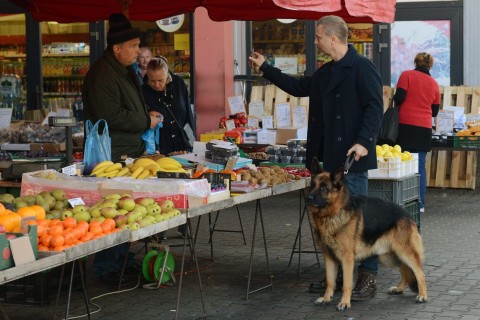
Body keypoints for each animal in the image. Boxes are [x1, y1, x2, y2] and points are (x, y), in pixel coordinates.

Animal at [308, 160, 428, 310]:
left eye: (324, 187)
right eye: (312, 185)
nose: (308, 198)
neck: (332, 214)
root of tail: (407, 214)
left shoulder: (347, 259)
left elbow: (347, 284)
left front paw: (345, 302)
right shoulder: (329, 257)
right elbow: (330, 281)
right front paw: (326, 298)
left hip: (405, 253)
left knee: (420, 273)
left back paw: (423, 296)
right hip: (389, 257)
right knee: (405, 271)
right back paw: (399, 289)